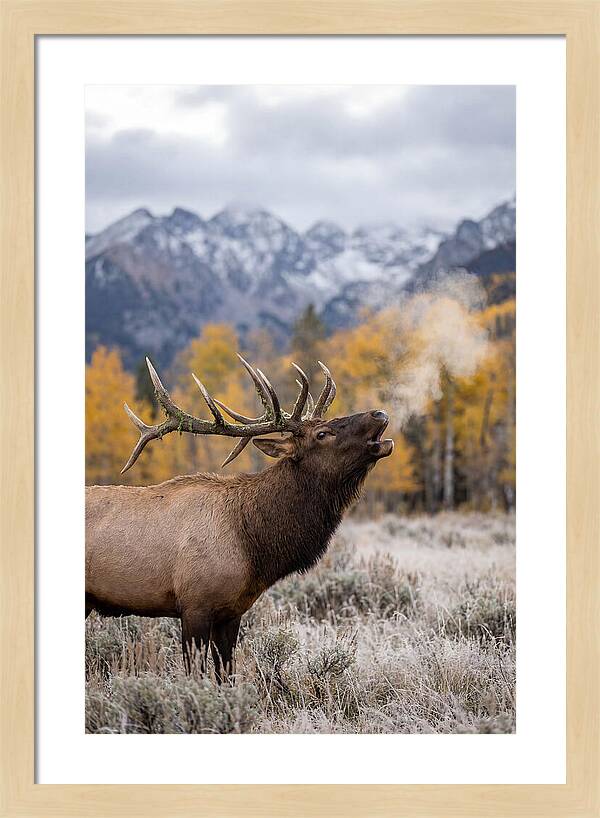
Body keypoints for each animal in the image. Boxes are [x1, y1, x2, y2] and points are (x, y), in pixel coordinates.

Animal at [85, 354, 394, 681]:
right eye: (322, 434)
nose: (379, 413)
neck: (253, 547)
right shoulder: (194, 605)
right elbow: (195, 675)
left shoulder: (232, 612)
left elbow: (227, 674)